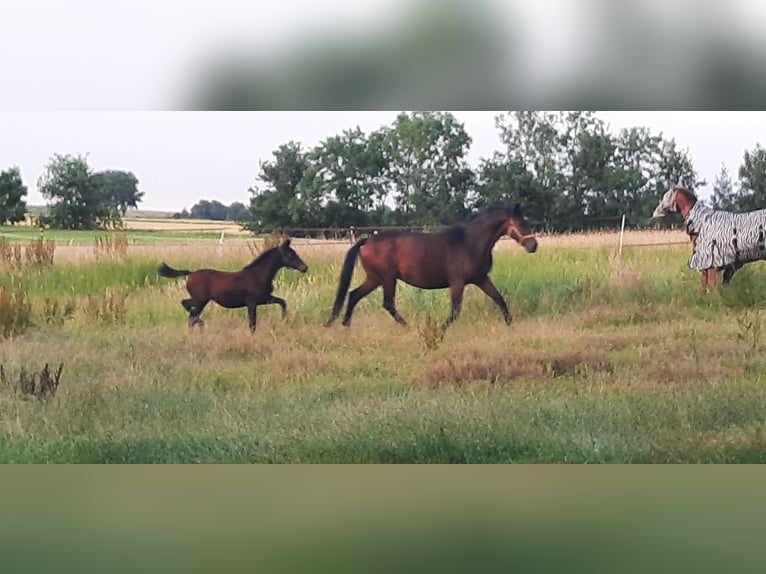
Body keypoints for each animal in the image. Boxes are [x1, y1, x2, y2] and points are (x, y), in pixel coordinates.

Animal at [159, 238, 308, 330]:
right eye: (291, 254)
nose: (305, 267)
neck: (258, 275)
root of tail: (190, 273)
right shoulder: (252, 302)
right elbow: (252, 323)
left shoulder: (264, 299)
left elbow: (282, 302)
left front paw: (284, 319)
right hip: (200, 300)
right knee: (188, 310)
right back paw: (199, 323)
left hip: (202, 301)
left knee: (191, 315)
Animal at [324, 207, 540, 330]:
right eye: (520, 223)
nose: (533, 245)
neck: (470, 243)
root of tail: (367, 240)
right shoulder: (457, 282)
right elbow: (455, 311)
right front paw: (440, 329)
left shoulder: (481, 278)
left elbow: (499, 299)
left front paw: (511, 324)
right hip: (387, 279)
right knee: (387, 303)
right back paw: (407, 326)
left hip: (375, 279)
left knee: (354, 294)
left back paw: (345, 324)